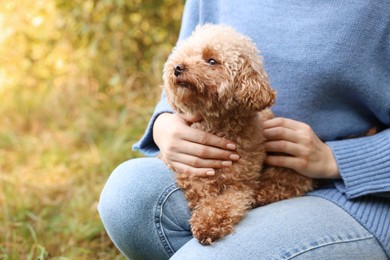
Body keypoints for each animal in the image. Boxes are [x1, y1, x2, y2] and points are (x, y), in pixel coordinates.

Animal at [160, 23, 312, 245]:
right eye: (186, 54)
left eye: (211, 60)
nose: (178, 67)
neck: (218, 124)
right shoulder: (190, 164)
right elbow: (199, 187)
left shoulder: (240, 185)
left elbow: (224, 203)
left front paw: (208, 223)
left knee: (292, 183)